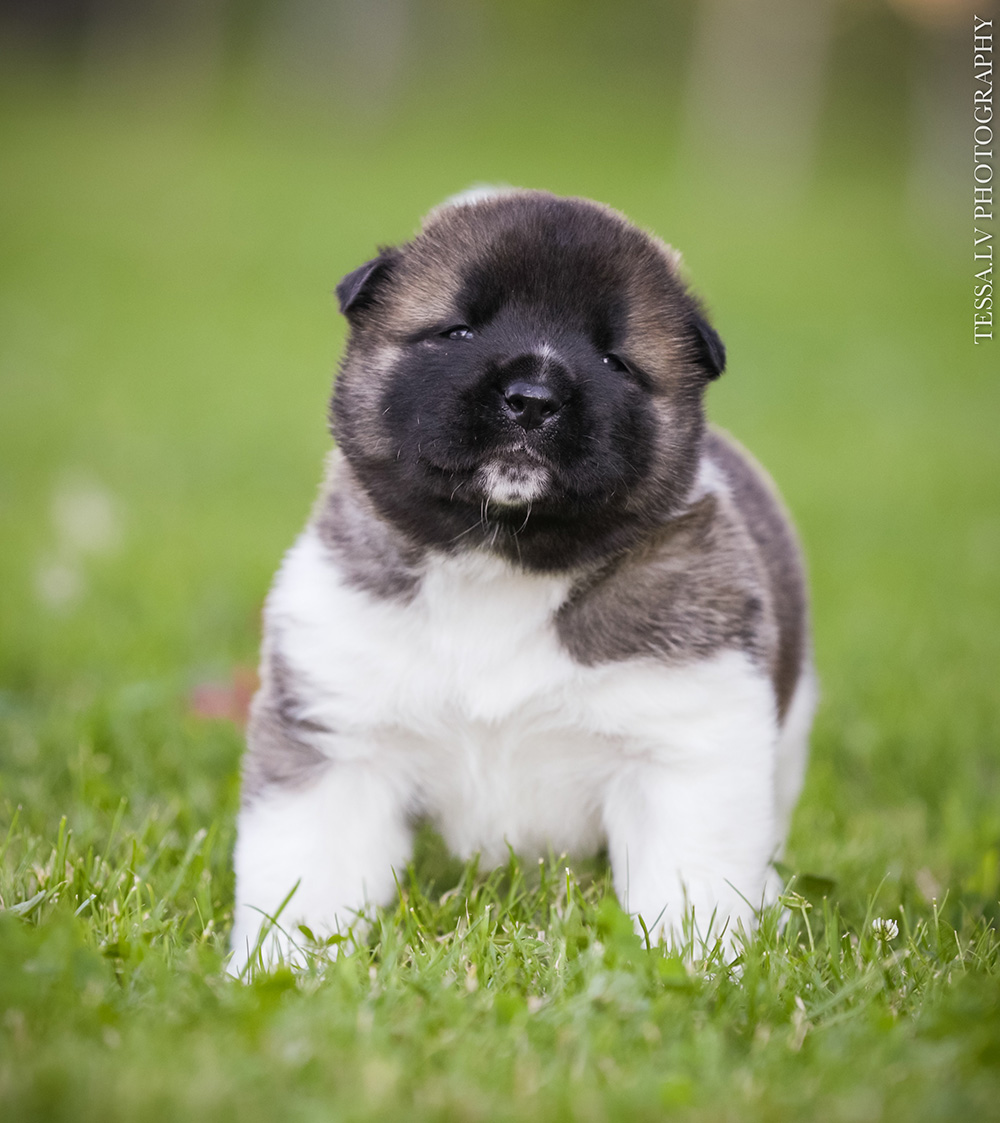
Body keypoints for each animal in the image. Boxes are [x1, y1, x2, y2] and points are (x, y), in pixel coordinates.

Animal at [230, 188, 813, 970]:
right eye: (458, 330)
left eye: (614, 359)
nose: (534, 398)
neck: (498, 560)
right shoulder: (337, 737)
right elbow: (302, 874)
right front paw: (276, 968)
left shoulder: (686, 748)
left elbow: (691, 884)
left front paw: (690, 970)